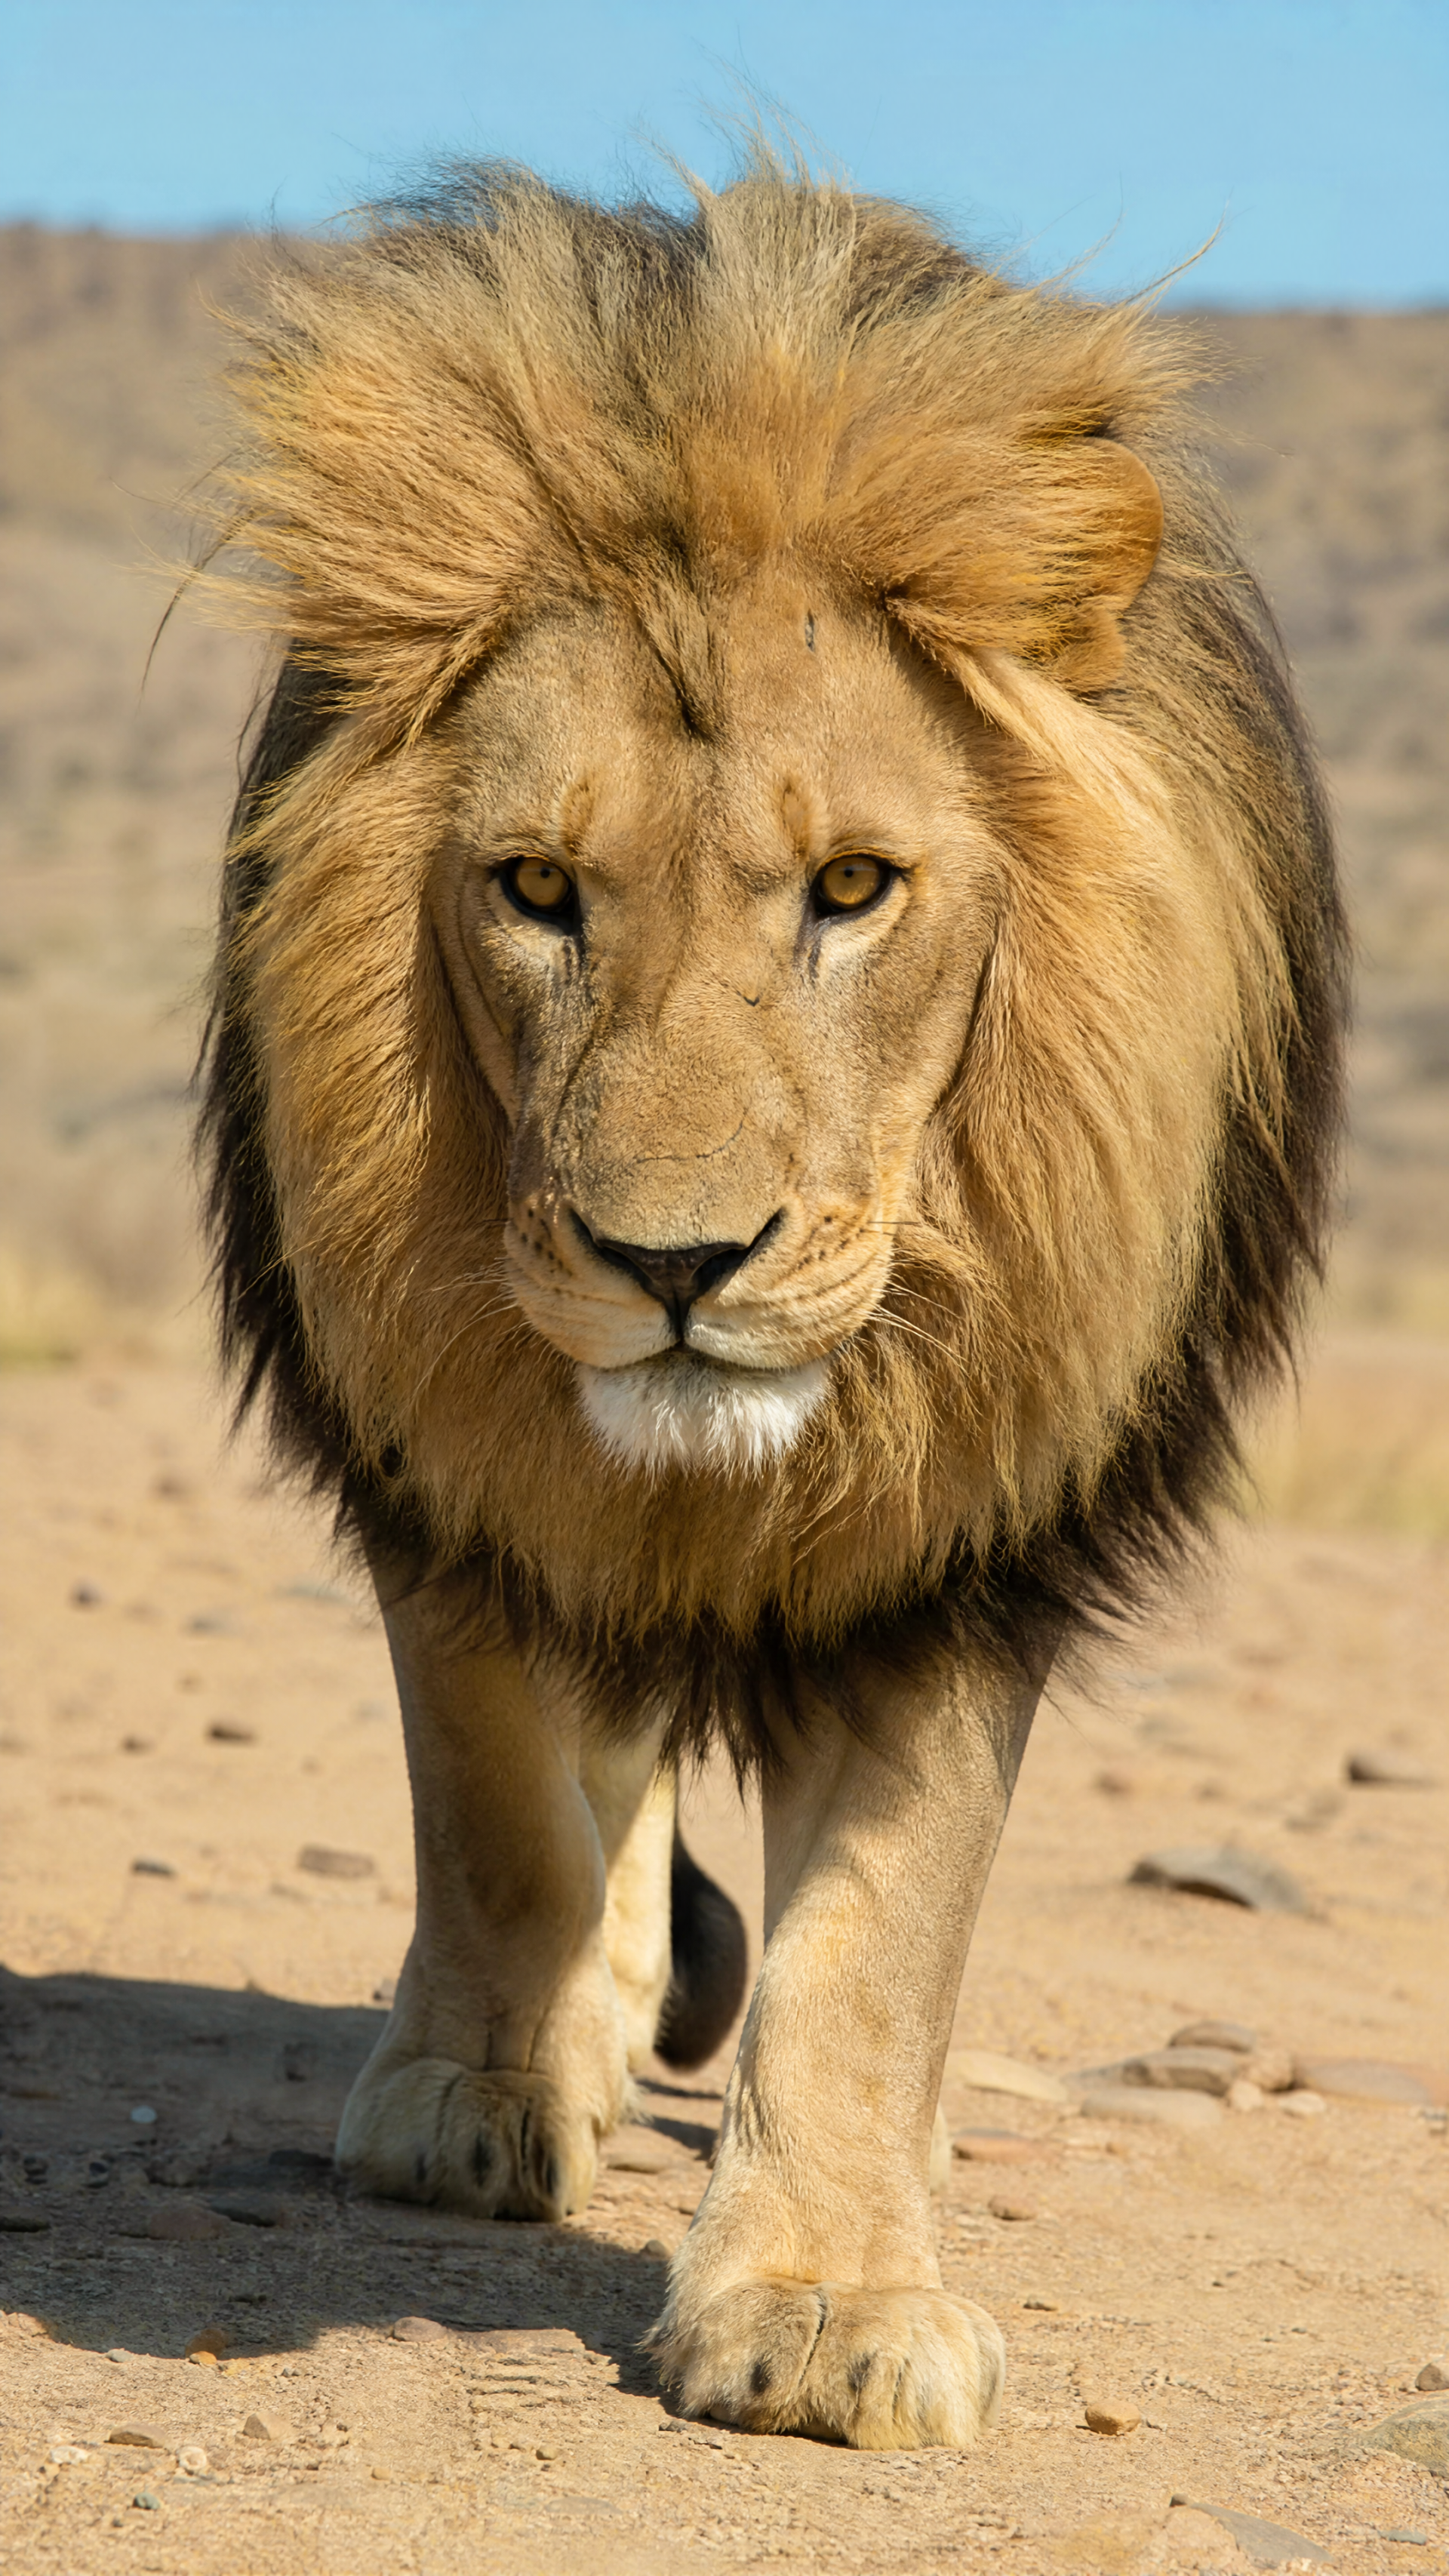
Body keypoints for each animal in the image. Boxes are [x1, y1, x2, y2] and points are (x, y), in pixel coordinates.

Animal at [197, 150, 1346, 2452]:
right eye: (537, 889)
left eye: (853, 891)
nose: (672, 1265)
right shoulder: (439, 1435)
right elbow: (494, 1799)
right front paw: (473, 2088)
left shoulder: (969, 1510)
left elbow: (880, 1931)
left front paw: (823, 2299)